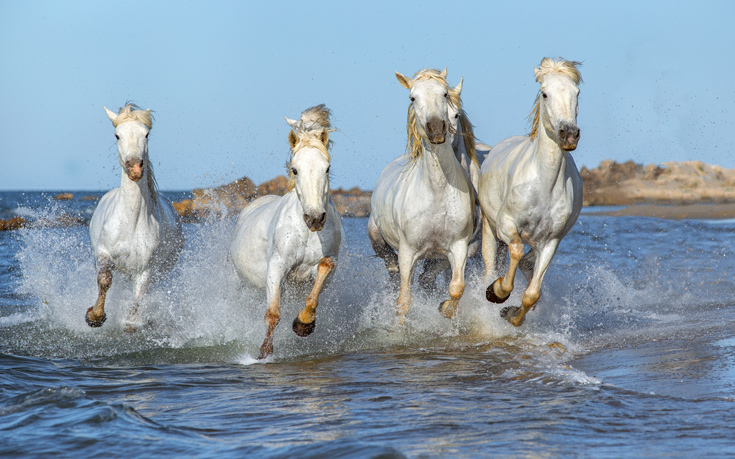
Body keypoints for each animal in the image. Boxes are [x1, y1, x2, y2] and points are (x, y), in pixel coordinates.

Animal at [87, 105, 184, 330]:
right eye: (117, 135)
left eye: (146, 134)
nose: (135, 168)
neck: (130, 222)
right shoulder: (103, 253)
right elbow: (104, 279)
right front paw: (95, 316)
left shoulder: (145, 269)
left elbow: (139, 296)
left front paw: (130, 322)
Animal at [230, 106, 342, 362]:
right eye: (295, 169)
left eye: (327, 168)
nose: (315, 218)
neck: (307, 233)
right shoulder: (276, 266)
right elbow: (273, 313)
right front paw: (264, 353)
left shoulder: (322, 267)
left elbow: (322, 273)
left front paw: (303, 324)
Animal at [368, 68, 478, 322]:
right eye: (412, 97)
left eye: (444, 93)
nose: (436, 129)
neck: (437, 192)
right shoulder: (408, 252)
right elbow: (404, 301)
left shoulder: (459, 247)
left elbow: (456, 288)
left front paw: (444, 309)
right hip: (378, 238)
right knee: (393, 272)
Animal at [478, 58, 588, 328]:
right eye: (544, 93)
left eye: (577, 93)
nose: (569, 134)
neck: (543, 186)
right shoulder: (507, 225)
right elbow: (515, 251)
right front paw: (496, 292)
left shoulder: (550, 242)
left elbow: (531, 294)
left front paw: (512, 315)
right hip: (489, 228)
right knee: (491, 264)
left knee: (528, 265)